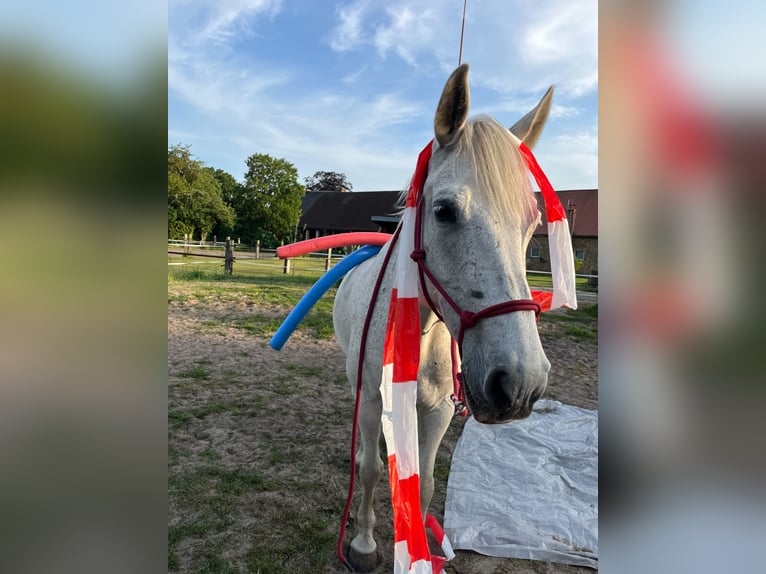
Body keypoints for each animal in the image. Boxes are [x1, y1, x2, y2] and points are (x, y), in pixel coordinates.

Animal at [332, 63, 554, 571]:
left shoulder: (436, 412)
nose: (521, 383)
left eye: (533, 223)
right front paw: (364, 545)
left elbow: (426, 484)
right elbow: (371, 471)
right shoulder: (372, 401)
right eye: (444, 210)